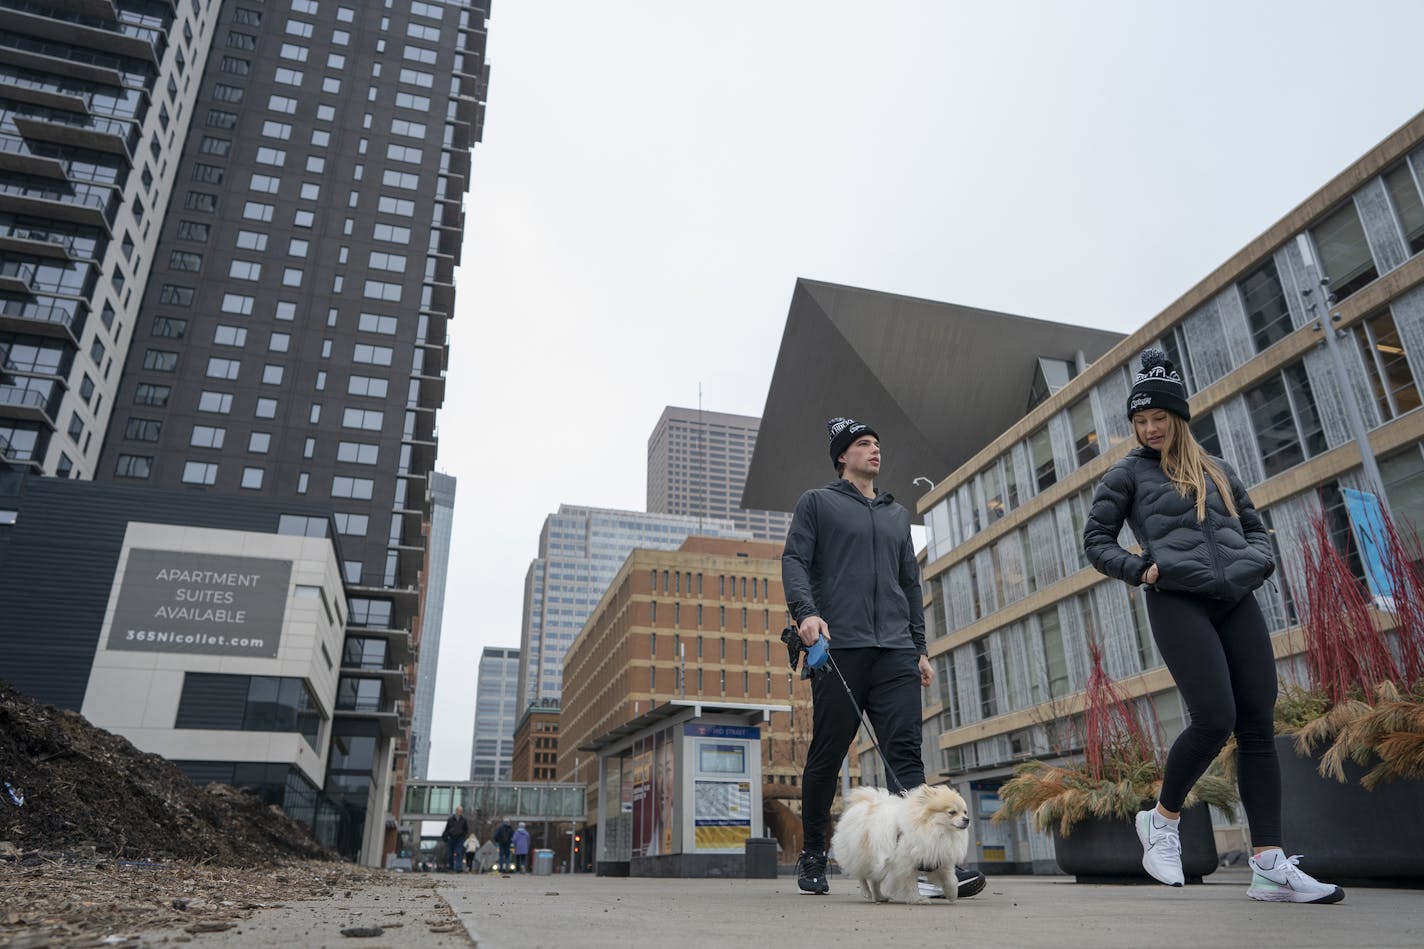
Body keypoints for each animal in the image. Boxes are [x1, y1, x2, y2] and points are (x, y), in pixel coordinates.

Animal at [831, 780, 974, 906]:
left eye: (965, 812)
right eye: (952, 812)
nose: (967, 819)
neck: (936, 830)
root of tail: (865, 804)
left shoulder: (938, 857)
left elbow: (951, 879)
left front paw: (952, 894)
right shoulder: (905, 865)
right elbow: (911, 884)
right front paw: (918, 900)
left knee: (874, 880)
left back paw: (879, 897)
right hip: (861, 855)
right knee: (861, 875)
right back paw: (866, 892)